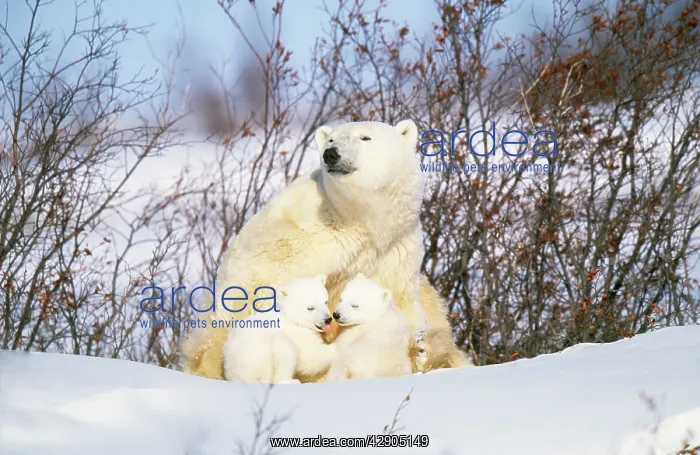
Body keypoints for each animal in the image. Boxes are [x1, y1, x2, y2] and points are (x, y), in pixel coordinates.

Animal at [179, 119, 471, 381]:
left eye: (365, 137)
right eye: (331, 140)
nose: (331, 154)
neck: (360, 221)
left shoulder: (395, 250)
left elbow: (398, 302)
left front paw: (419, 351)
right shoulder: (299, 241)